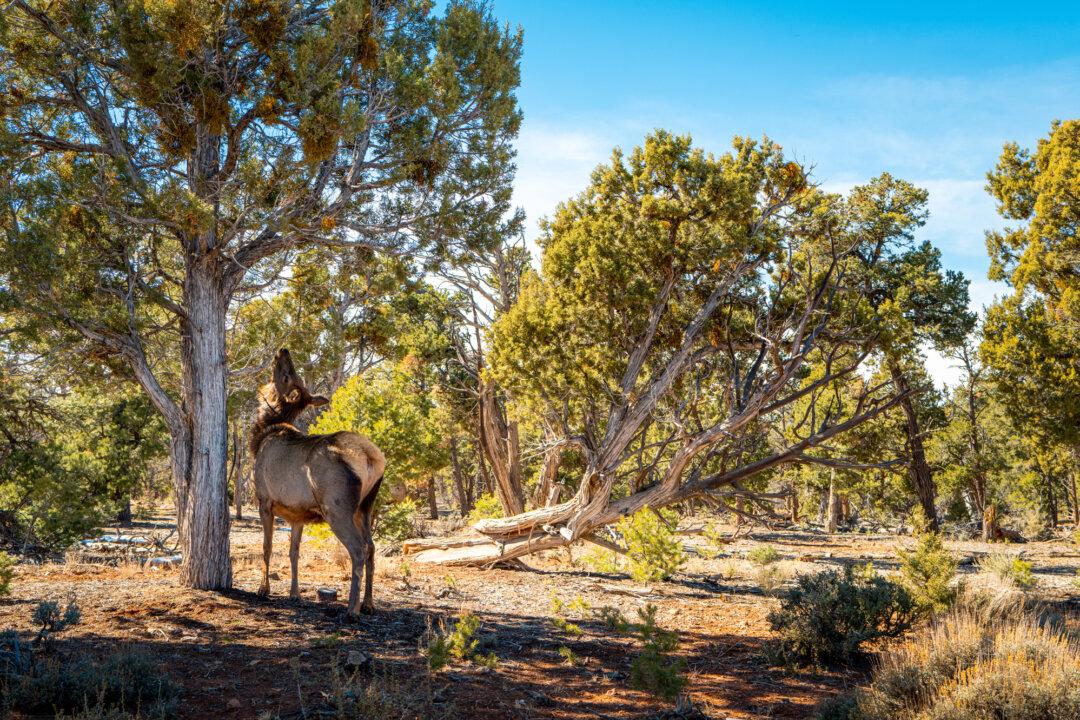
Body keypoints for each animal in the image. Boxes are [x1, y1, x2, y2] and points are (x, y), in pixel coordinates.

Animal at [250, 348, 386, 617]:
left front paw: (263, 588)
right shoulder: (297, 515)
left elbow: (266, 547)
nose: (283, 351)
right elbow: (294, 552)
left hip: (336, 508)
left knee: (358, 549)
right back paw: (368, 603)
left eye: (286, 376)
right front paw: (294, 593)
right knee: (372, 547)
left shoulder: (264, 500)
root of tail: (371, 457)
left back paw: (352, 609)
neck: (260, 436)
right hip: (365, 506)